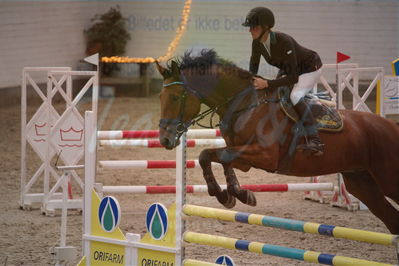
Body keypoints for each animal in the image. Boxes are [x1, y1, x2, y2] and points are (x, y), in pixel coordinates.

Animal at [155, 48, 399, 234]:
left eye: (175, 97)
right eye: (160, 97)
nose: (165, 139)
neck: (245, 103)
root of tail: (391, 127)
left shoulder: (266, 156)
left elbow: (219, 157)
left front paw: (236, 194)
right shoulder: (243, 157)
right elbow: (211, 156)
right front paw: (230, 195)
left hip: (387, 180)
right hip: (361, 182)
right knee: (391, 219)